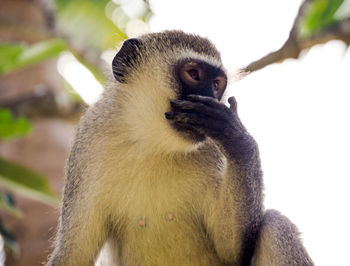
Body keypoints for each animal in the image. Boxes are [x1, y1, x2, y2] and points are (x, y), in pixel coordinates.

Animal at [47, 31, 314, 266]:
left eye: (217, 84)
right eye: (194, 74)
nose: (212, 97)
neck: (152, 142)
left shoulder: (211, 150)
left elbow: (233, 247)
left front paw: (235, 136)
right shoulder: (89, 144)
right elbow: (74, 254)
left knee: (275, 224)